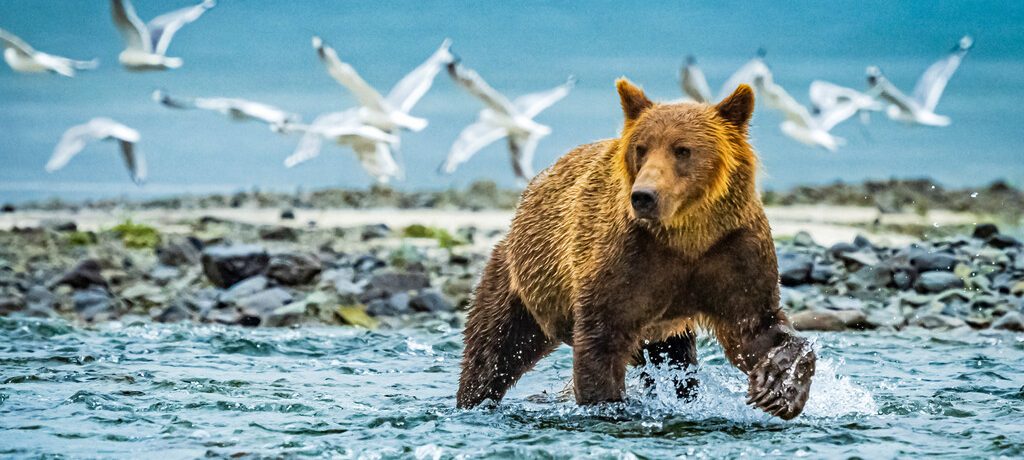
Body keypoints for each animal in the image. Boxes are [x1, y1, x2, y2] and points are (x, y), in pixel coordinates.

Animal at [457, 78, 816, 420]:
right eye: (641, 148)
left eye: (682, 150)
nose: (644, 195)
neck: (686, 236)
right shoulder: (627, 258)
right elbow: (602, 339)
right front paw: (607, 404)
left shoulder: (732, 250)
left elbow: (756, 327)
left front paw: (778, 386)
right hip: (523, 280)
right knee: (495, 349)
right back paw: (474, 399)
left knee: (677, 363)